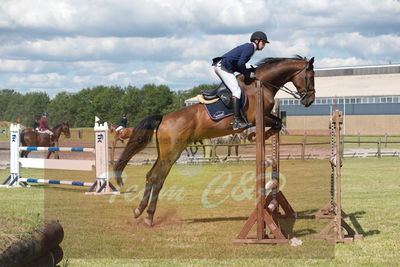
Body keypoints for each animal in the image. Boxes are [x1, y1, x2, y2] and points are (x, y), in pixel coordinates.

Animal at [114, 55, 314, 227]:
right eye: (310, 77)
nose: (310, 100)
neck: (261, 84)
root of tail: (164, 118)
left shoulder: (265, 117)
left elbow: (278, 123)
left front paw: (257, 136)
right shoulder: (258, 118)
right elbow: (277, 123)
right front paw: (256, 136)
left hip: (163, 152)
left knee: (150, 176)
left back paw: (139, 211)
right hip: (171, 152)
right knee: (157, 177)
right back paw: (148, 216)